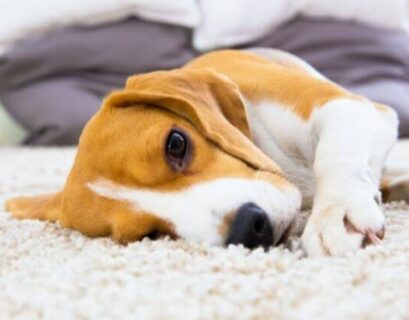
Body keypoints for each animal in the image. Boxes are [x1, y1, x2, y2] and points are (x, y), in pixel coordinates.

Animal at [6, 48, 402, 258]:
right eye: (148, 235)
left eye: (176, 143)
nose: (248, 227)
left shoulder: (348, 107)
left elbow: (336, 155)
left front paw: (337, 213)